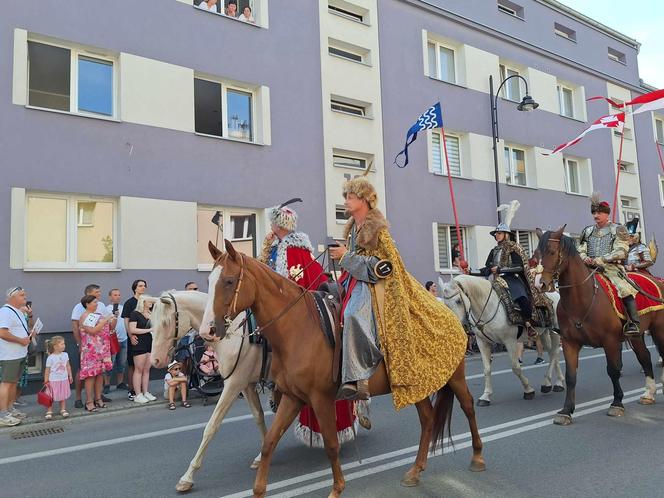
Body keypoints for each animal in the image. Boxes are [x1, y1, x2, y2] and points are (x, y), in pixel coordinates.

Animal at [148, 288, 268, 494]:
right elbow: (258, 416)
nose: (155, 361)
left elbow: (211, 426)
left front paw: (187, 477)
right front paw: (262, 455)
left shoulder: (234, 384)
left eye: (165, 322)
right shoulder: (246, 385)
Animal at [205, 241, 486, 498]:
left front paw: (337, 488)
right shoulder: (293, 397)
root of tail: (449, 312)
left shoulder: (320, 399)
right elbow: (269, 441)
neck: (298, 328)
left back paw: (477, 458)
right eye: (210, 281)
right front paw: (259, 489)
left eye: (229, 281)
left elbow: (331, 444)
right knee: (427, 419)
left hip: (455, 376)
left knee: (468, 406)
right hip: (416, 386)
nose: (209, 330)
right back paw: (415, 471)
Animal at [440, 274, 564, 406]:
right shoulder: (482, 342)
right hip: (543, 333)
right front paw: (485, 396)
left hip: (555, 330)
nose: (456, 327)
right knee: (552, 354)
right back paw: (557, 382)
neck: (488, 306)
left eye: (458, 301)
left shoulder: (510, 341)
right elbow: (487, 369)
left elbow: (515, 367)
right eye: (444, 304)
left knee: (554, 352)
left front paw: (528, 389)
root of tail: (555, 292)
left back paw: (548, 383)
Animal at [536, 226, 664, 424]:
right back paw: (648, 394)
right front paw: (566, 411)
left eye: (551, 252)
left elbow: (613, 371)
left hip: (658, 330)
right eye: (536, 254)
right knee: (645, 358)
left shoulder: (610, 342)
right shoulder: (570, 343)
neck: (582, 300)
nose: (541, 284)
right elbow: (571, 376)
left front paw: (617, 404)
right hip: (636, 335)